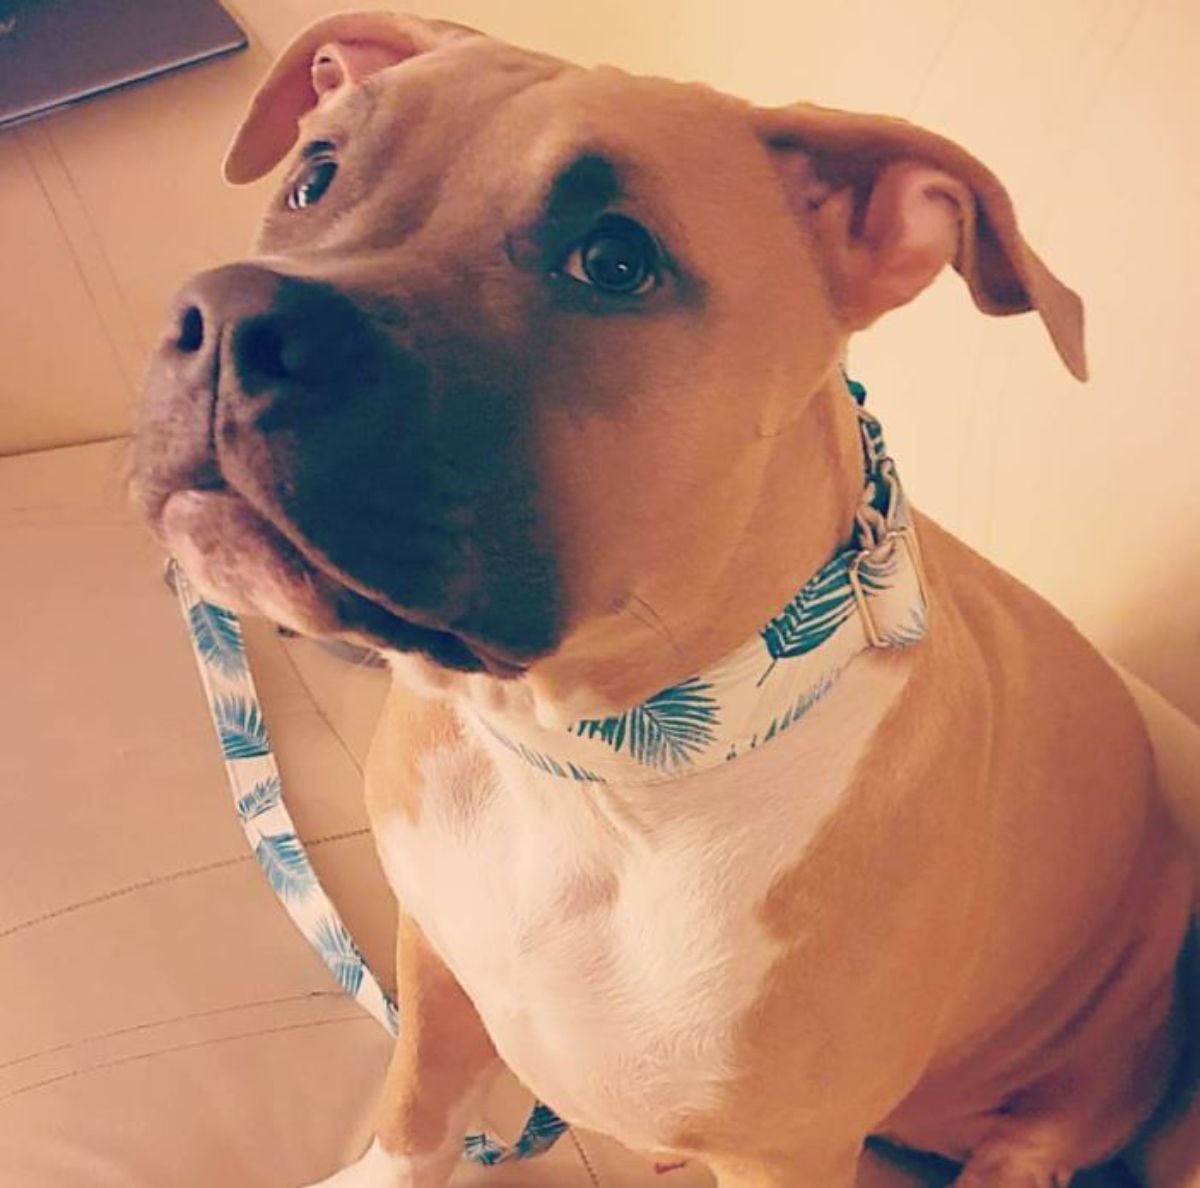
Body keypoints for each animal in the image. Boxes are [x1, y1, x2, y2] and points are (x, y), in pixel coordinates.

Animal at [131, 11, 1190, 1188]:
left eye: (614, 262)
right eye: (313, 178)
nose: (230, 320)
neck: (590, 764)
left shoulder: (788, 1152)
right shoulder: (436, 962)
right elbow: (413, 1115)